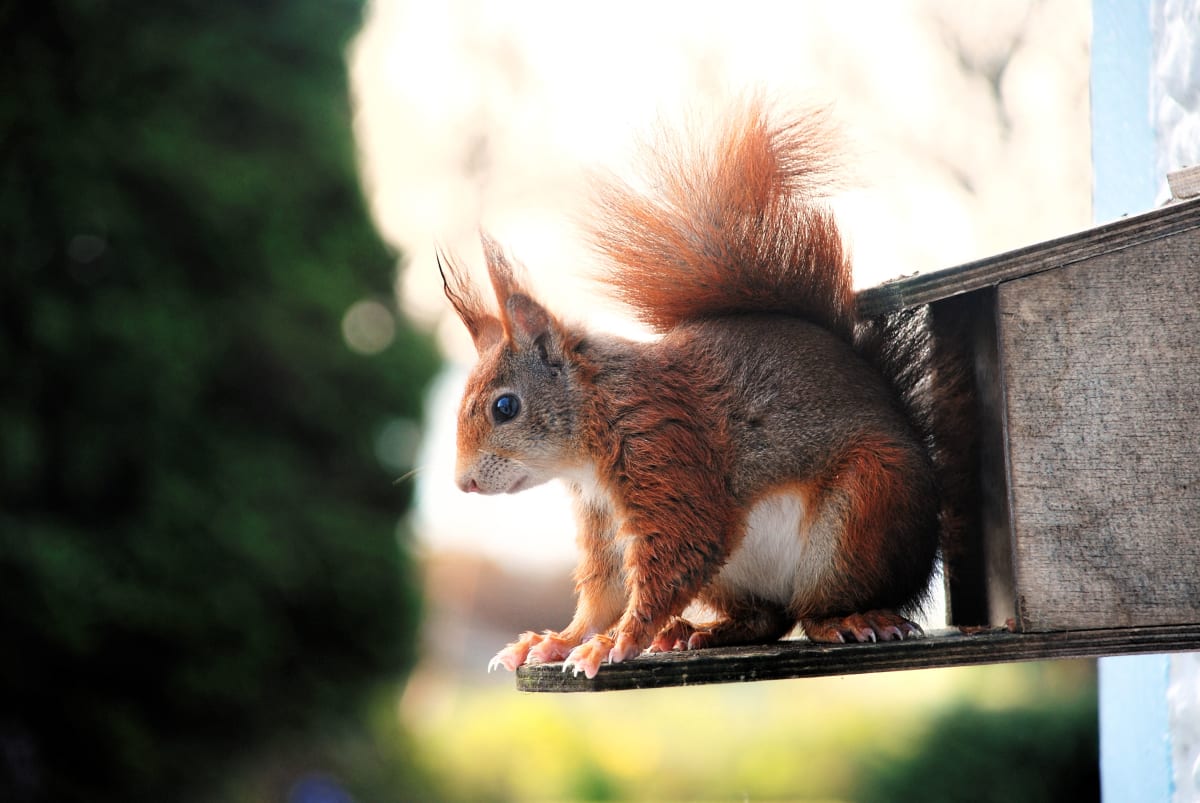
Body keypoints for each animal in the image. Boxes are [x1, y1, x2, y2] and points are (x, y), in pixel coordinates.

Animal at [439, 97, 974, 680]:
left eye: (505, 406)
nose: (464, 484)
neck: (597, 419)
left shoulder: (667, 452)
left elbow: (679, 551)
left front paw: (612, 643)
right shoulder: (602, 518)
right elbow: (603, 590)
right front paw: (558, 640)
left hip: (864, 509)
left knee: (815, 609)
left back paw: (850, 619)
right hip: (738, 573)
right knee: (768, 619)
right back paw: (699, 631)